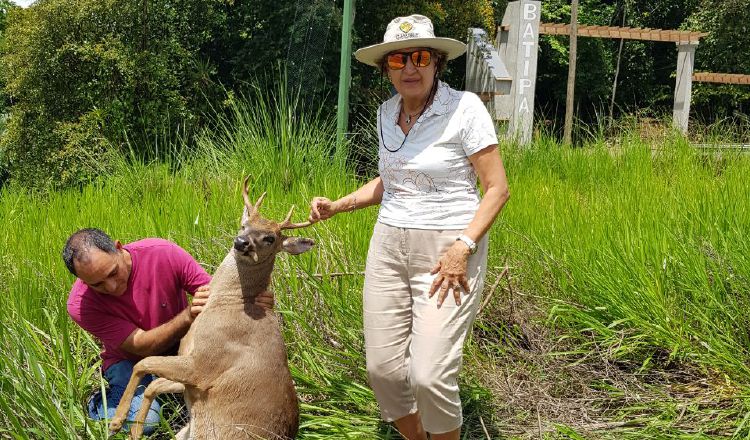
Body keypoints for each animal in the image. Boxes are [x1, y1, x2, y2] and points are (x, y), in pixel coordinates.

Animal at [108, 177, 314, 438]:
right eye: (244, 225)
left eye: (270, 238)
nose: (242, 242)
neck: (230, 303)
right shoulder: (189, 367)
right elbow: (152, 383)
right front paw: (133, 429)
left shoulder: (204, 364)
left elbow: (143, 364)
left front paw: (117, 421)